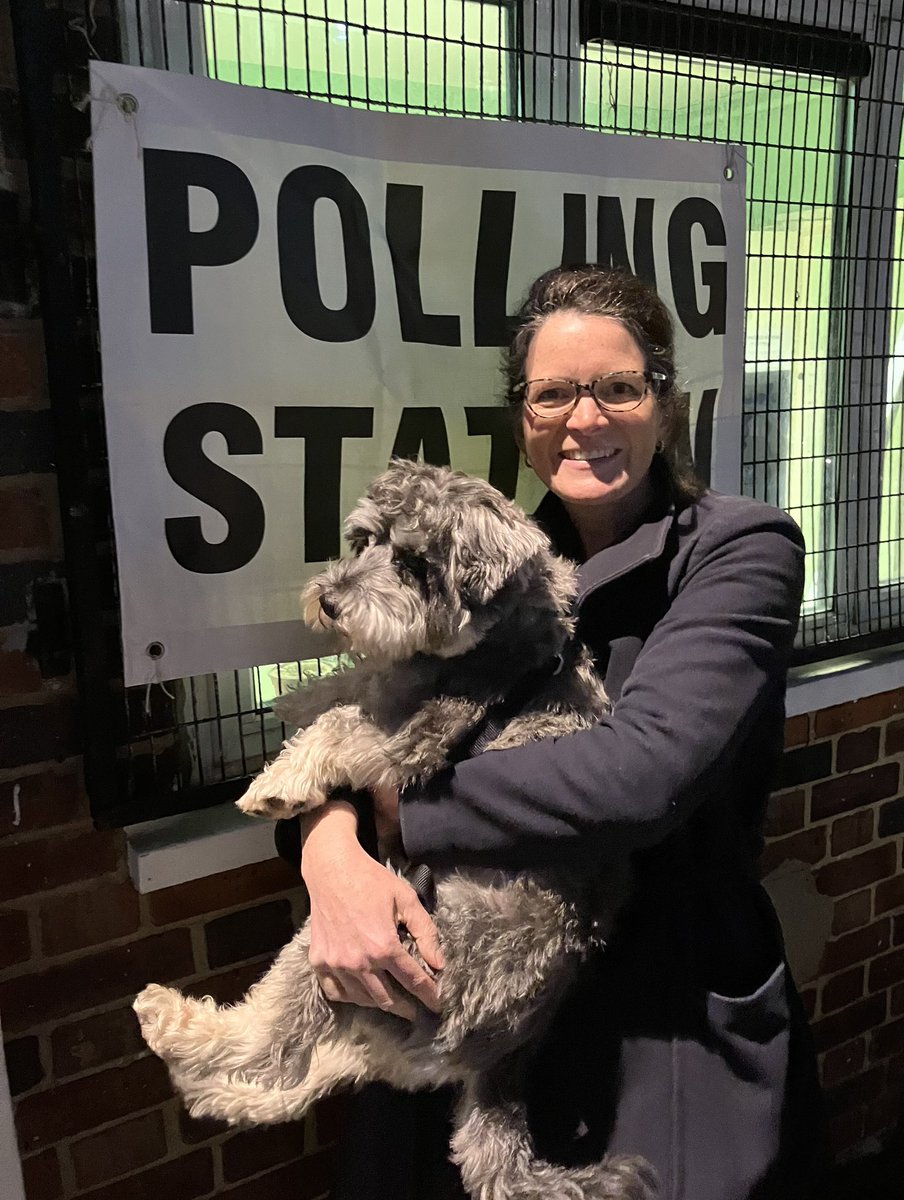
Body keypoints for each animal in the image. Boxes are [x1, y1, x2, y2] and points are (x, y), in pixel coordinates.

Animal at [133, 460, 657, 1200]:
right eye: (364, 541)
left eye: (413, 564)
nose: (329, 600)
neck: (492, 641)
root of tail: (496, 1065)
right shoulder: (392, 686)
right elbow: (351, 687)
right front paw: (299, 695)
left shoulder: (413, 741)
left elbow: (343, 725)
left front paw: (277, 782)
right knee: (293, 1079)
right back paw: (219, 1090)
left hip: (343, 957)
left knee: (265, 1040)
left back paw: (175, 1022)